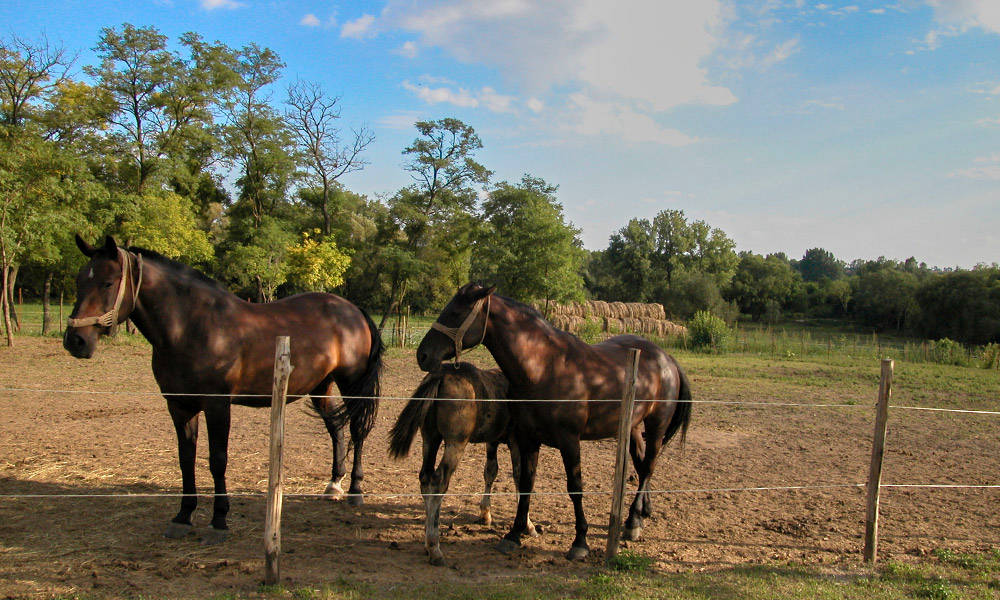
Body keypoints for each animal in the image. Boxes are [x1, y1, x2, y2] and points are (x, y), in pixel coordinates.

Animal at [63, 236, 382, 544]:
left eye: (108, 282)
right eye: (79, 281)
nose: (75, 341)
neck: (193, 326)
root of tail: (353, 309)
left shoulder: (217, 405)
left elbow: (218, 461)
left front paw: (219, 521)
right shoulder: (180, 406)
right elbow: (186, 459)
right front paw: (183, 517)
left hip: (352, 384)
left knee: (357, 430)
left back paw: (355, 490)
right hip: (321, 386)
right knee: (335, 428)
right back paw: (334, 484)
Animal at [386, 364, 536, 564]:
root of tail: (441, 375)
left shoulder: (492, 441)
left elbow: (491, 471)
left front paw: (486, 514)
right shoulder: (517, 441)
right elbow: (521, 478)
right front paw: (527, 524)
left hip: (430, 439)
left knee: (425, 479)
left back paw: (427, 538)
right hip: (455, 443)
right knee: (438, 482)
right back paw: (434, 547)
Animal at [414, 284, 688, 560]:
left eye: (456, 312)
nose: (422, 355)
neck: (545, 367)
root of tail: (666, 358)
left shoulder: (569, 441)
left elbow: (575, 487)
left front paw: (580, 542)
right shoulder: (527, 439)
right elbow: (526, 483)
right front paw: (514, 534)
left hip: (656, 426)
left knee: (648, 467)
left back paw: (632, 523)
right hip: (632, 427)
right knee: (642, 466)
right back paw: (641, 514)